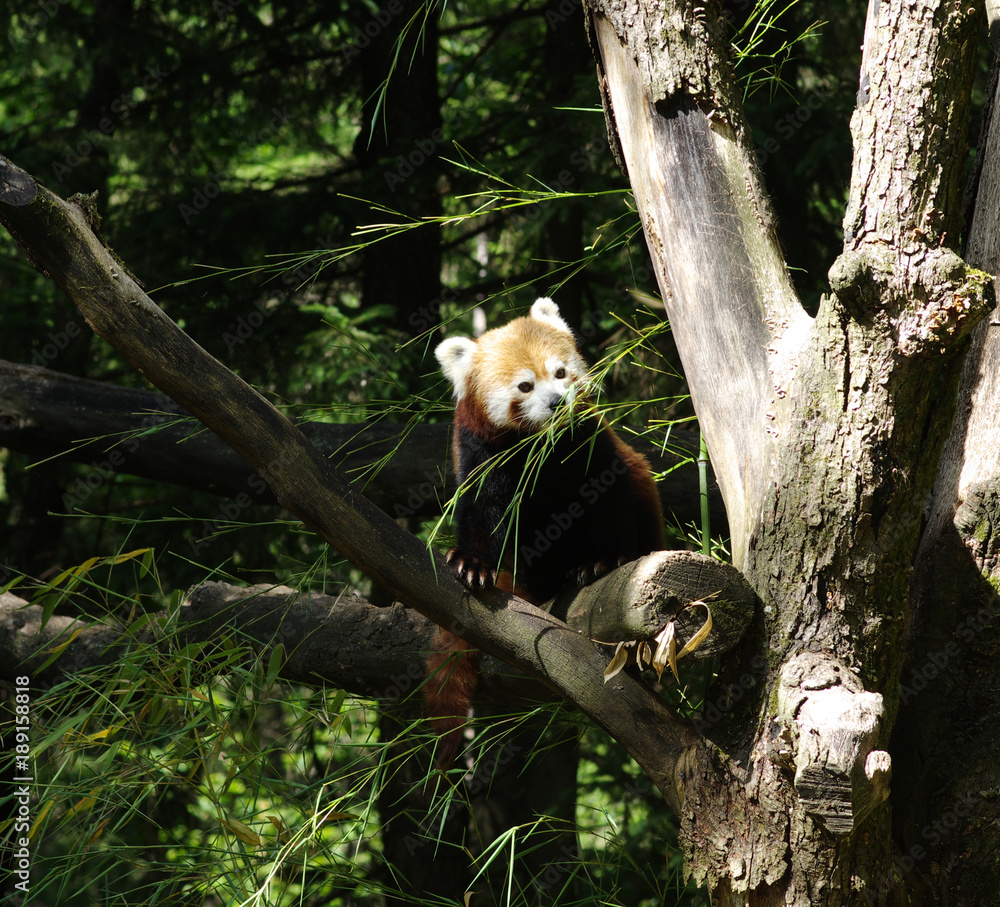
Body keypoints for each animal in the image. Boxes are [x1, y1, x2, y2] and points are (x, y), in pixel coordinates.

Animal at [424, 298, 664, 768]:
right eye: (524, 385)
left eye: (560, 372)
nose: (556, 401)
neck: (540, 447)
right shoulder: (480, 453)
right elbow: (480, 513)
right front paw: (471, 563)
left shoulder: (590, 446)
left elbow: (610, 504)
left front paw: (603, 560)